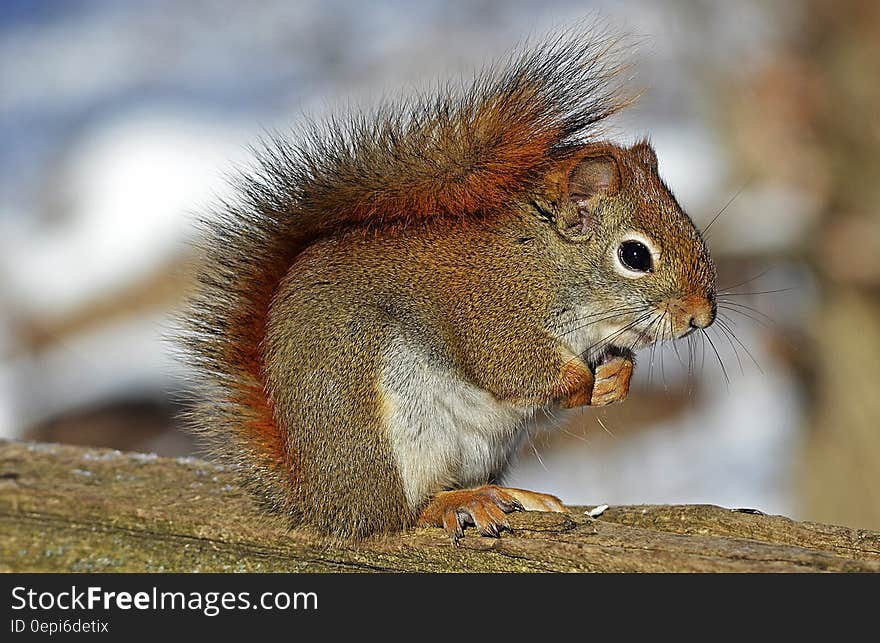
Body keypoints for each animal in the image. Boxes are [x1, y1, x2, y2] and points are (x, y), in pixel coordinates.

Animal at [182, 28, 720, 544]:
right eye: (635, 255)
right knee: (402, 511)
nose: (701, 316)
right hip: (387, 430)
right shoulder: (491, 311)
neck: (546, 262)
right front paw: (583, 382)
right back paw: (459, 503)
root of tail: (320, 499)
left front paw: (616, 378)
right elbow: (511, 368)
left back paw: (512, 495)